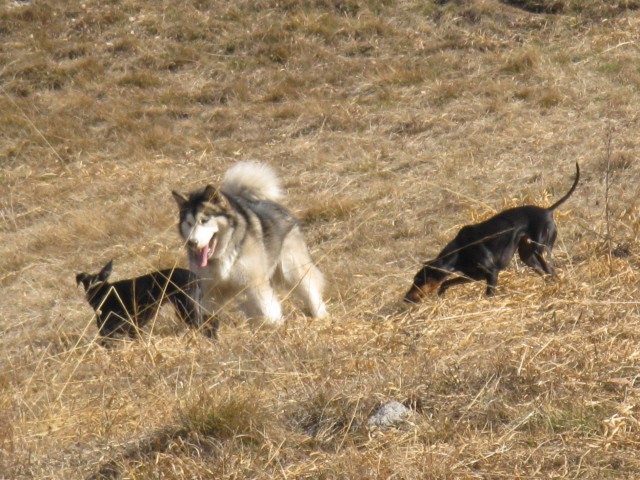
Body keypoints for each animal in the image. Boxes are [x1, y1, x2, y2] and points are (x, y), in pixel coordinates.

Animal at [171, 162, 328, 326]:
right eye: (189, 223)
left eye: (204, 220)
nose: (192, 242)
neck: (223, 253)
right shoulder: (210, 289)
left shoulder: (254, 283)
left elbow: (268, 310)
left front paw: (275, 326)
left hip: (292, 269)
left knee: (310, 290)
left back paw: (320, 316)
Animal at [404, 163, 580, 302]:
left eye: (419, 280)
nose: (406, 299)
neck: (460, 251)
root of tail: (547, 211)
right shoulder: (473, 276)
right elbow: (447, 283)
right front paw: (441, 294)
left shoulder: (492, 273)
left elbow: (489, 295)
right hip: (527, 256)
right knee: (546, 273)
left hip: (540, 250)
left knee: (551, 270)